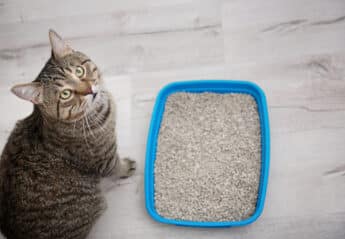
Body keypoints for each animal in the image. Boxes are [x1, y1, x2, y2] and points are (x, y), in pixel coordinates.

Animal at [0, 29, 136, 239]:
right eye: (65, 94)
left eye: (79, 71)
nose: (90, 90)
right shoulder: (105, 159)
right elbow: (116, 167)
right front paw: (125, 167)